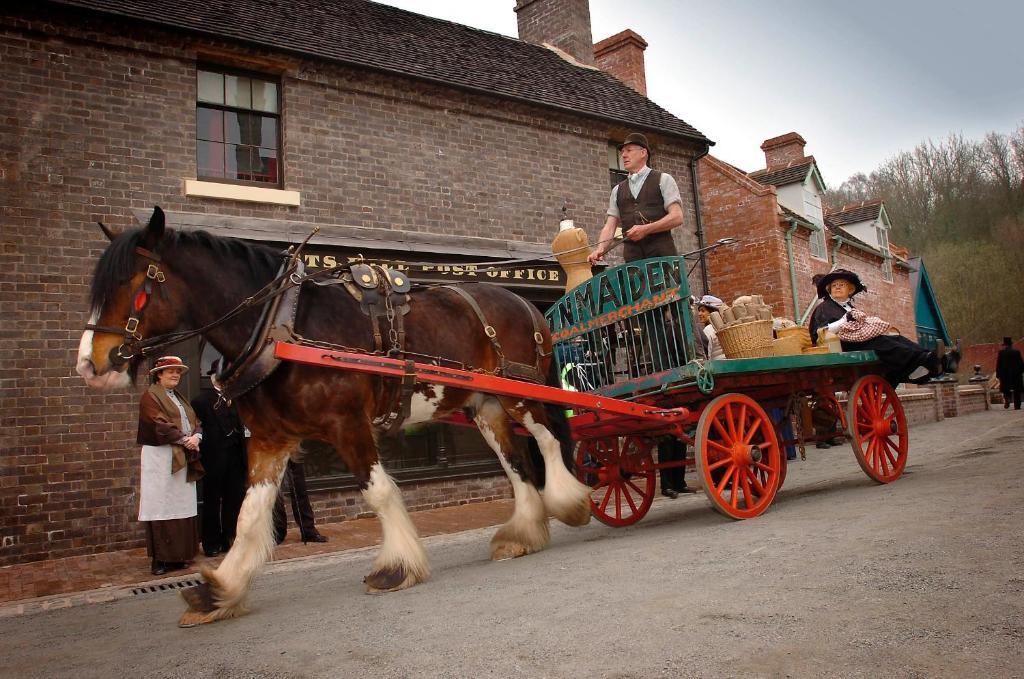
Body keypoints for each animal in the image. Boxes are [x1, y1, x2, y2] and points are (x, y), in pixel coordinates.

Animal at [77, 205, 593, 626]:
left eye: (136, 285)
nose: (89, 363)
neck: (281, 328)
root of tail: (525, 304)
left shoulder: (348, 425)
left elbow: (379, 492)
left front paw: (396, 566)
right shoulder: (269, 440)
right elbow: (249, 515)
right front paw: (221, 590)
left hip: (521, 395)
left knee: (547, 440)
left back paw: (570, 502)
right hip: (485, 406)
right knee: (516, 462)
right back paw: (522, 533)